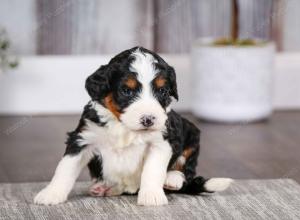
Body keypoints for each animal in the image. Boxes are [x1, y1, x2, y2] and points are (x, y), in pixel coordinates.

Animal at [34, 46, 233, 206]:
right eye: (126, 91)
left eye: (163, 90)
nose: (148, 119)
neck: (124, 127)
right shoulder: (83, 137)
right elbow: (65, 168)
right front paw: (50, 194)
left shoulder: (161, 141)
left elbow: (153, 170)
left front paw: (152, 196)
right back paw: (104, 187)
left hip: (191, 133)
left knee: (186, 169)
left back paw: (172, 179)